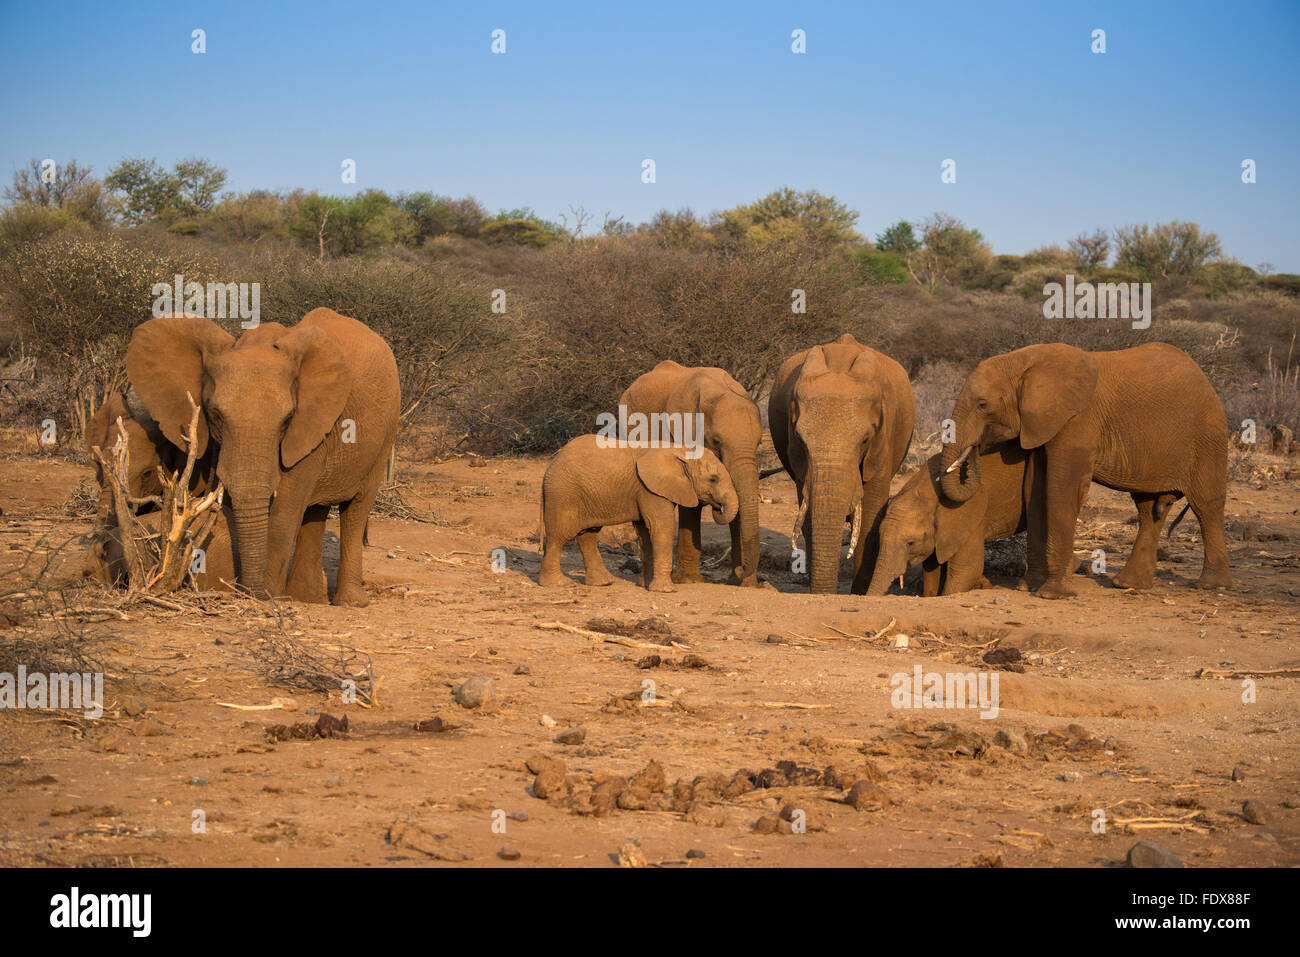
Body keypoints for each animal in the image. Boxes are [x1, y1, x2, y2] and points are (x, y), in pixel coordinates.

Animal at [124, 308, 400, 605]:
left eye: (287, 419)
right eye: (216, 415)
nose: (249, 591)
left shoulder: (308, 425)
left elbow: (284, 510)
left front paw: (264, 596)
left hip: (385, 435)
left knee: (357, 508)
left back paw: (349, 602)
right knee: (315, 511)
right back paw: (306, 598)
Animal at [539, 435, 740, 592]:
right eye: (713, 479)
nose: (717, 507)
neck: (681, 450)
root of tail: (552, 463)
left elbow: (645, 532)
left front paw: (645, 585)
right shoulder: (650, 489)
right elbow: (661, 527)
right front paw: (665, 590)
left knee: (587, 534)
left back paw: (603, 583)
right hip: (563, 494)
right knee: (560, 535)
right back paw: (559, 584)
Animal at [619, 361, 762, 587]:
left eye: (759, 442)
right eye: (716, 441)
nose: (741, 570)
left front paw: (744, 584)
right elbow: (691, 501)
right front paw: (688, 581)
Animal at [768, 333, 915, 594]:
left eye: (865, 439)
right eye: (800, 439)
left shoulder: (883, 441)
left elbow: (870, 515)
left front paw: (859, 594)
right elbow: (809, 515)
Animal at [939, 341, 1231, 598]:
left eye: (982, 405)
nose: (976, 449)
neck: (1025, 361)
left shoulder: (1077, 421)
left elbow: (1062, 491)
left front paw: (1052, 594)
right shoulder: (1043, 425)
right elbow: (1035, 492)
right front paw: (1027, 587)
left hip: (1209, 438)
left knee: (1206, 505)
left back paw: (1210, 585)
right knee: (1149, 511)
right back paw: (1128, 585)